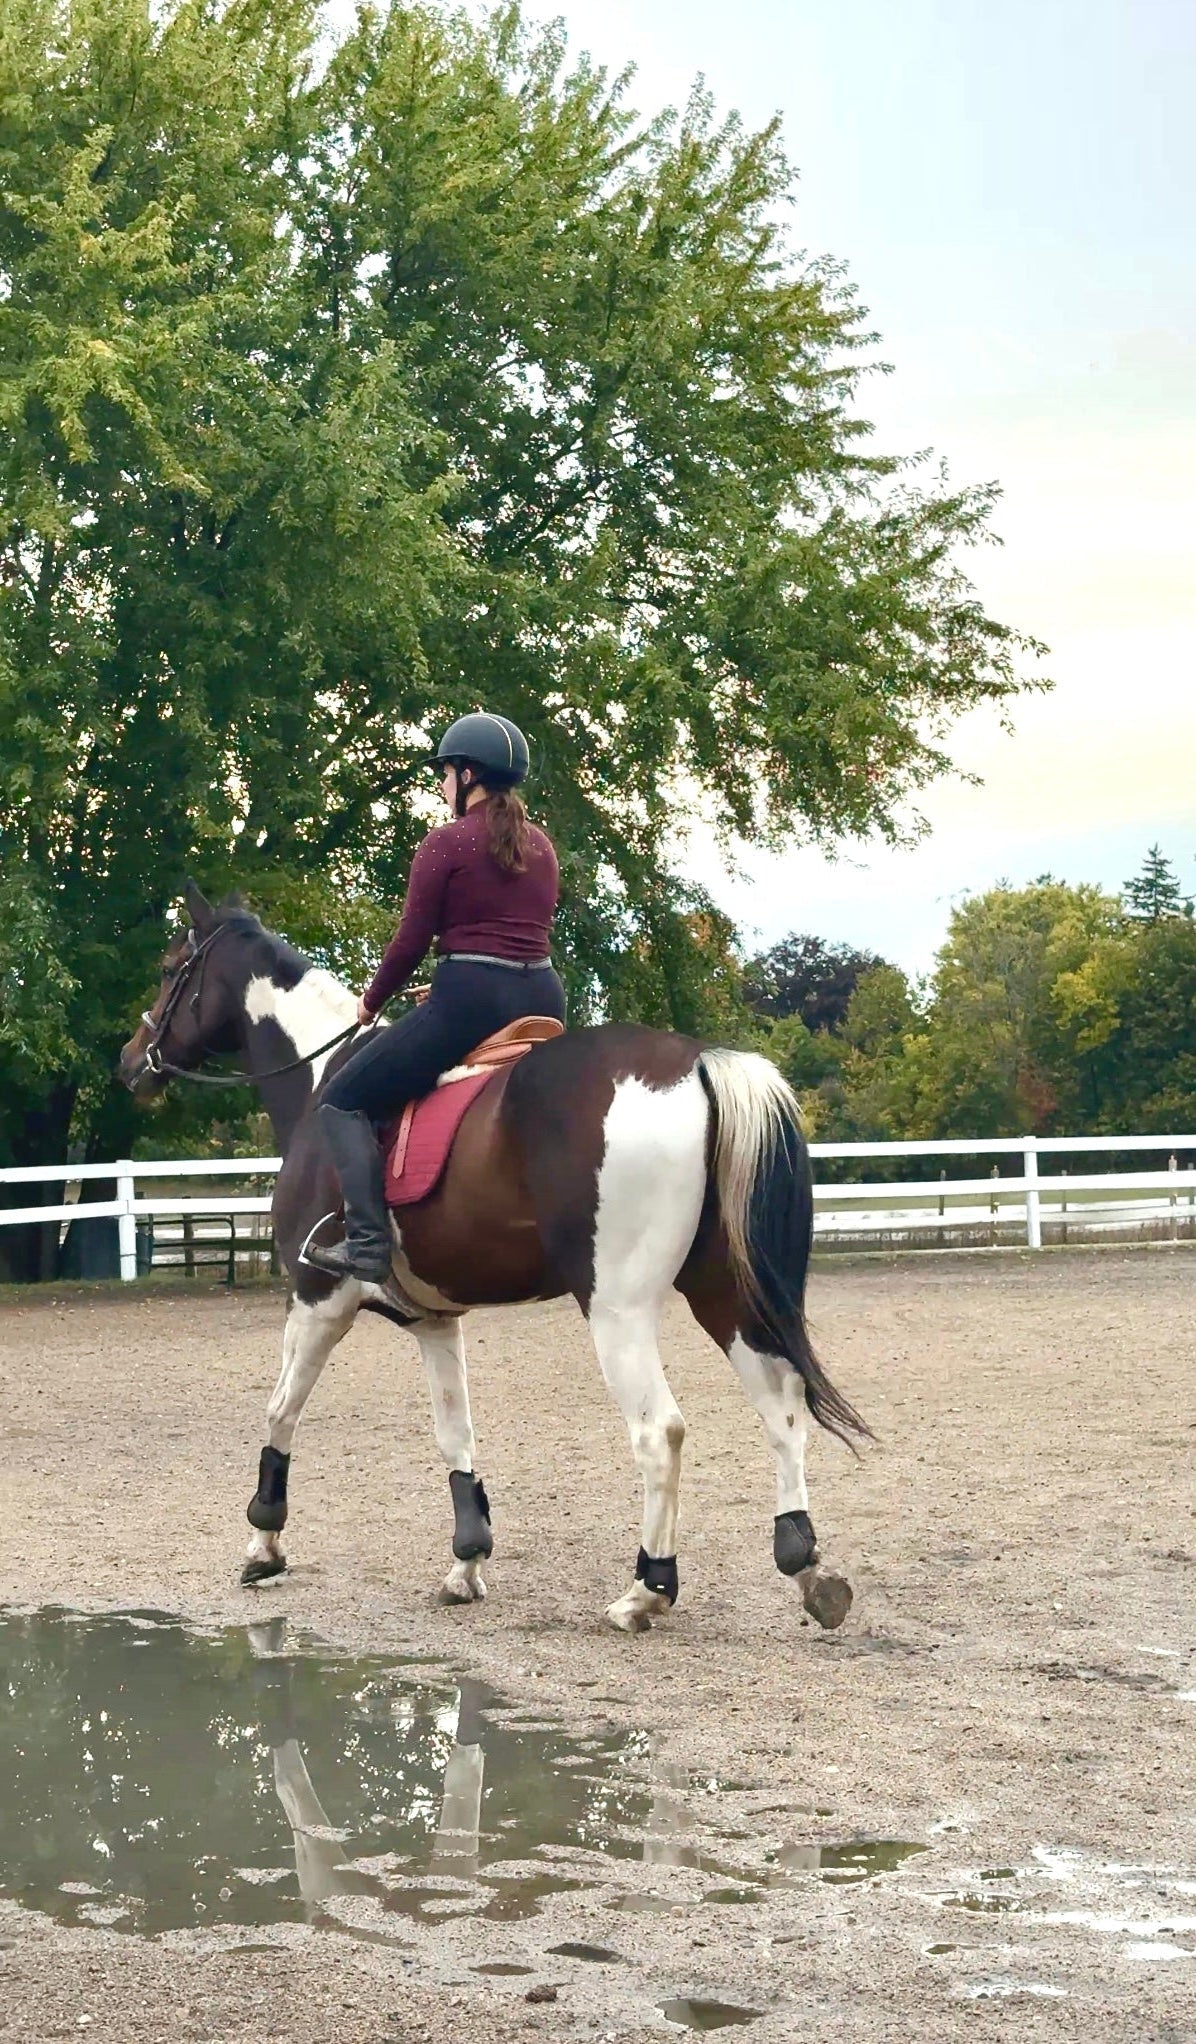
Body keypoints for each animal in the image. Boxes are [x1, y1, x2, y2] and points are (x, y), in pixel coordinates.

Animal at [120, 881, 867, 1632]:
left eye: (169, 967)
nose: (131, 1062)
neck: (318, 1080)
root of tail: (696, 1065)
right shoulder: (433, 1321)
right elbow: (456, 1434)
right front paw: (466, 1562)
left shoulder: (317, 1298)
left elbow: (280, 1411)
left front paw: (264, 1543)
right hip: (723, 1292)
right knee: (781, 1405)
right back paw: (808, 1568)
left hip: (618, 1308)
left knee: (661, 1432)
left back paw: (646, 1590)